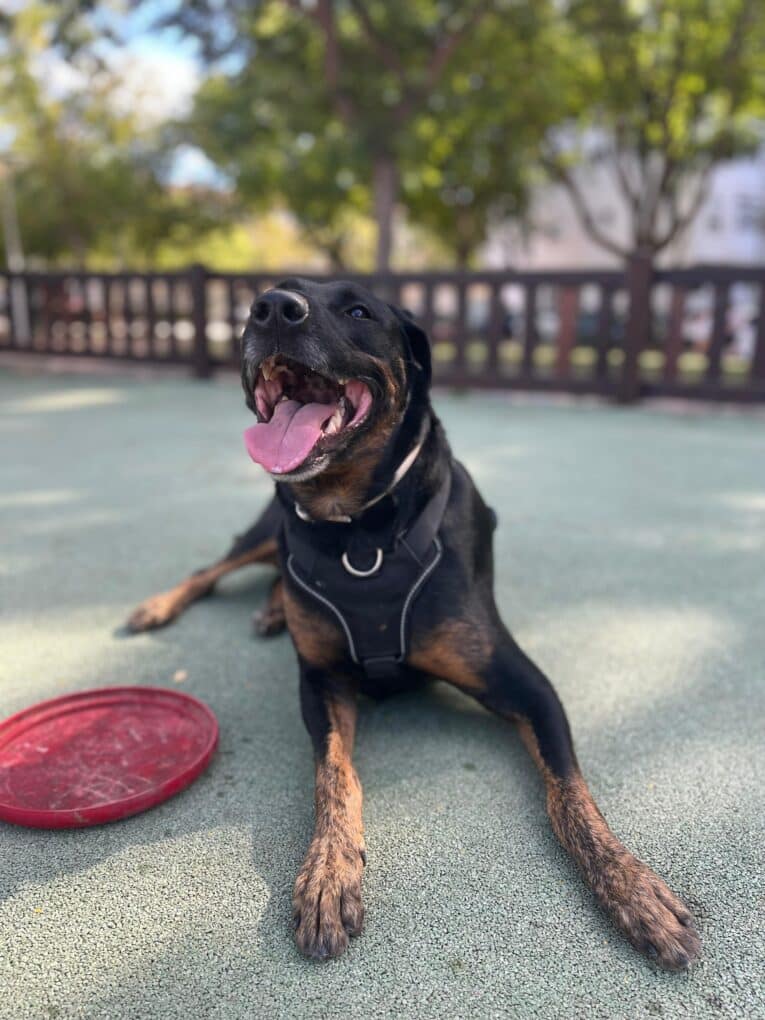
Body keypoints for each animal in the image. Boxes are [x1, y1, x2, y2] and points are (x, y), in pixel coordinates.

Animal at [127, 279, 701, 971]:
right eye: (258, 304)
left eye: (358, 311)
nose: (271, 308)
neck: (361, 534)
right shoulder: (321, 680)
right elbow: (334, 776)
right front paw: (328, 872)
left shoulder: (527, 684)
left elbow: (570, 794)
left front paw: (632, 887)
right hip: (266, 528)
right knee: (215, 567)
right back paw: (169, 606)